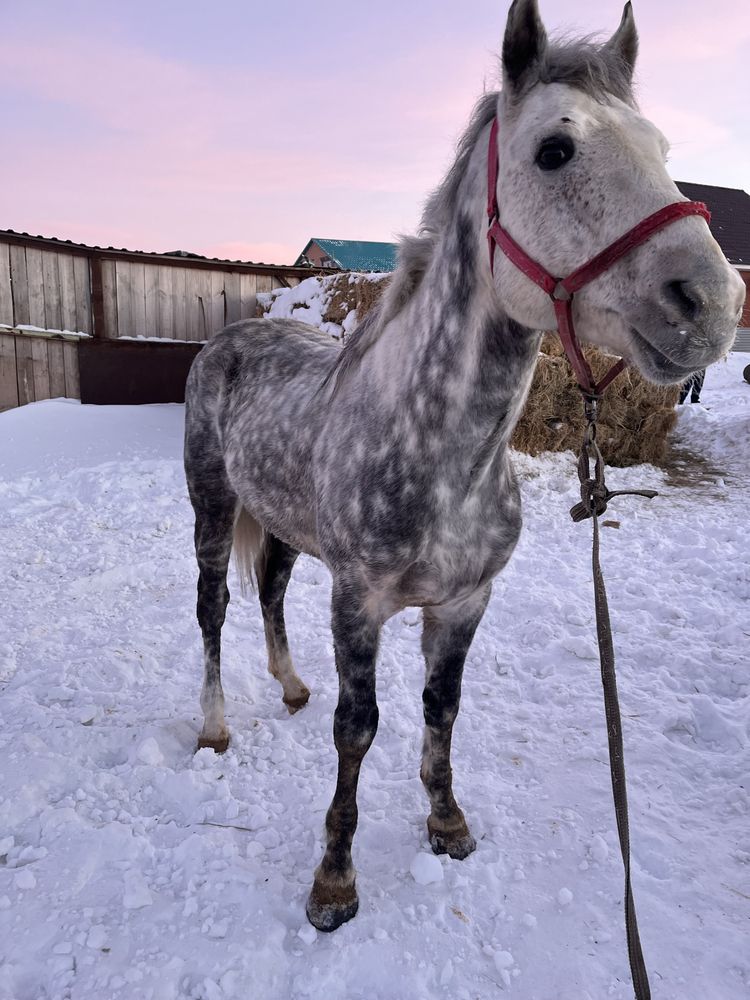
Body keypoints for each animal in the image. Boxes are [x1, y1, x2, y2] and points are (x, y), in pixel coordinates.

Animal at [184, 0, 748, 932]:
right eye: (553, 150)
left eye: (663, 149)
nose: (712, 304)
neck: (446, 461)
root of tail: (239, 332)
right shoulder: (359, 605)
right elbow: (358, 728)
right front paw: (333, 881)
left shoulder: (464, 603)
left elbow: (440, 710)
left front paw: (447, 823)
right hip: (211, 502)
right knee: (214, 608)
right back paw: (214, 727)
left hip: (286, 522)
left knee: (267, 590)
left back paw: (291, 686)